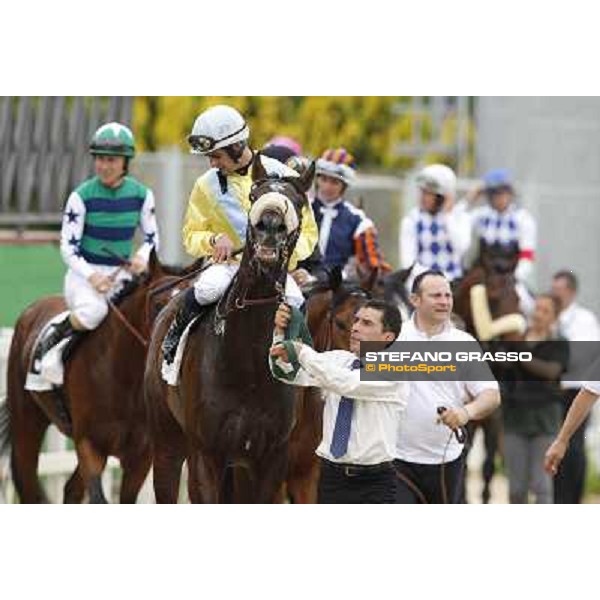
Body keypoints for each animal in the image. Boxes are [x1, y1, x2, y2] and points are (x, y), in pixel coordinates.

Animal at [0, 251, 191, 504]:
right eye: (159, 304)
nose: (171, 348)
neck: (124, 380)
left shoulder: (141, 457)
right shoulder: (89, 445)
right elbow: (99, 498)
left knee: (71, 489)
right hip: (26, 421)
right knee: (28, 482)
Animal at [145, 155, 316, 502]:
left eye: (298, 202)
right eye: (254, 195)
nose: (270, 225)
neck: (248, 364)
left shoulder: (271, 457)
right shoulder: (206, 453)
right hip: (167, 441)